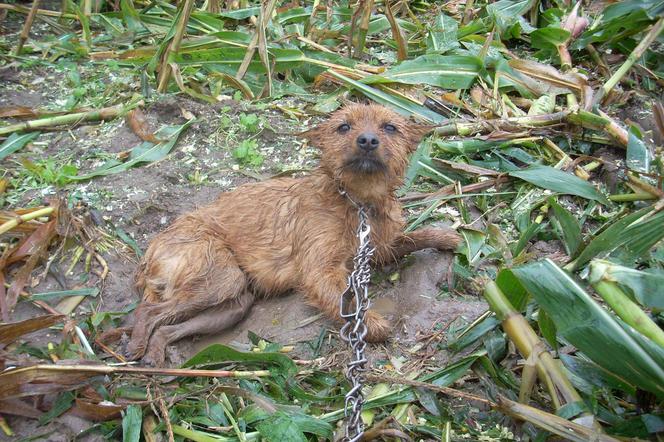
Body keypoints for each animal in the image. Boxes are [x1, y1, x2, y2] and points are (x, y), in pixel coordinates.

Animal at [128, 104, 462, 366]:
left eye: (390, 127)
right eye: (344, 126)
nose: (367, 140)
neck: (357, 202)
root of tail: (148, 257)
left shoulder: (376, 249)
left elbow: (409, 239)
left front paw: (444, 237)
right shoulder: (321, 271)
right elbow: (348, 305)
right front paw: (371, 326)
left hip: (232, 305)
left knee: (166, 325)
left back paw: (154, 350)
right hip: (218, 276)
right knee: (147, 310)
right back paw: (137, 345)